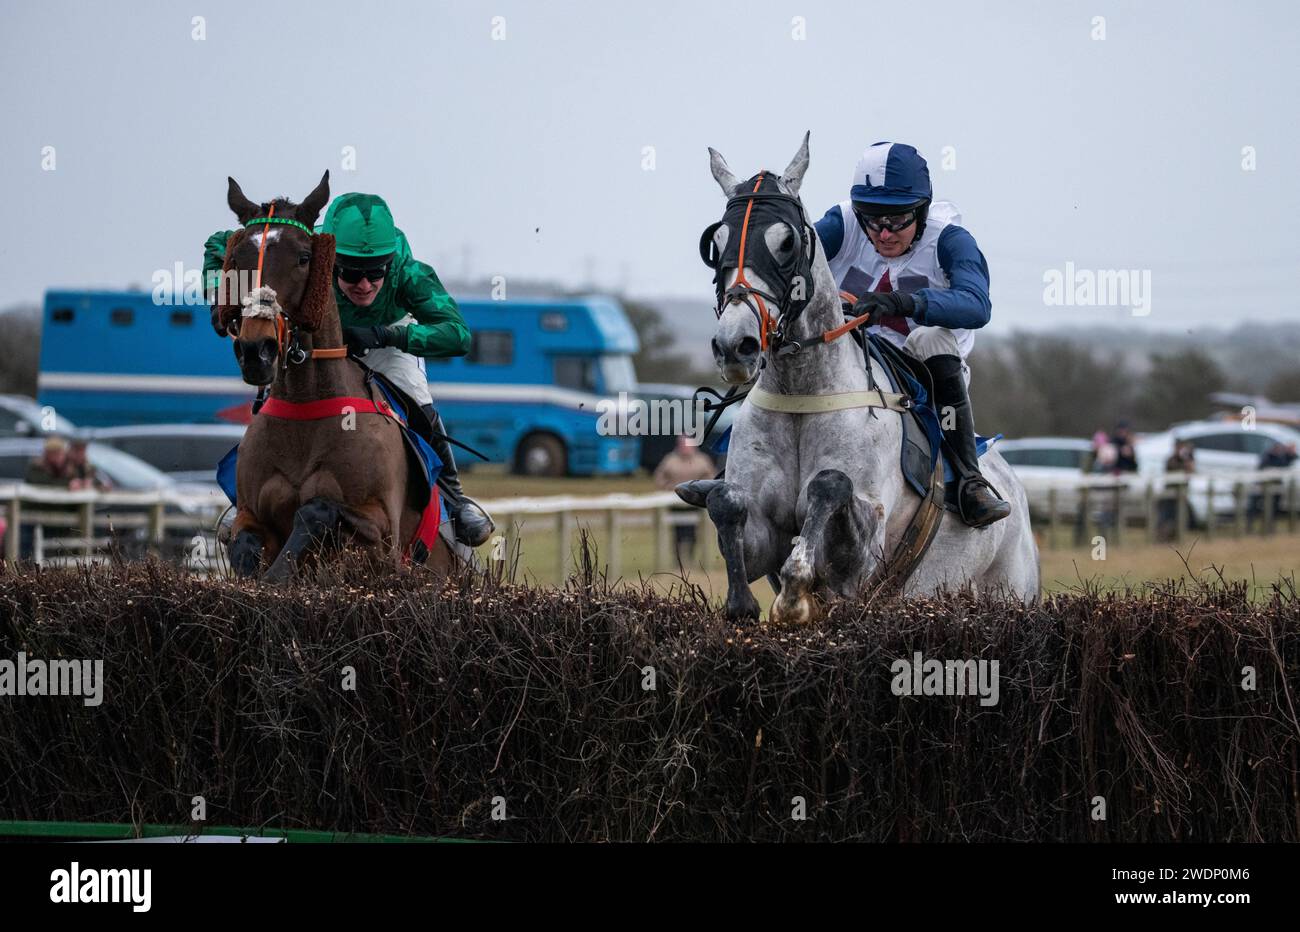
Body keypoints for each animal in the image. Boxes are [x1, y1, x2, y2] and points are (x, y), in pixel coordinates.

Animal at [686, 134, 1040, 621]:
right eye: (716, 241)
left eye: (787, 242)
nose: (735, 345)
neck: (802, 393)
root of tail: (1015, 489)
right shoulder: (762, 535)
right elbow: (726, 502)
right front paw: (741, 603)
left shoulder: (862, 553)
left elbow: (830, 484)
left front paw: (794, 596)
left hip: (1008, 590)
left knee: (933, 338)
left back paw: (979, 496)